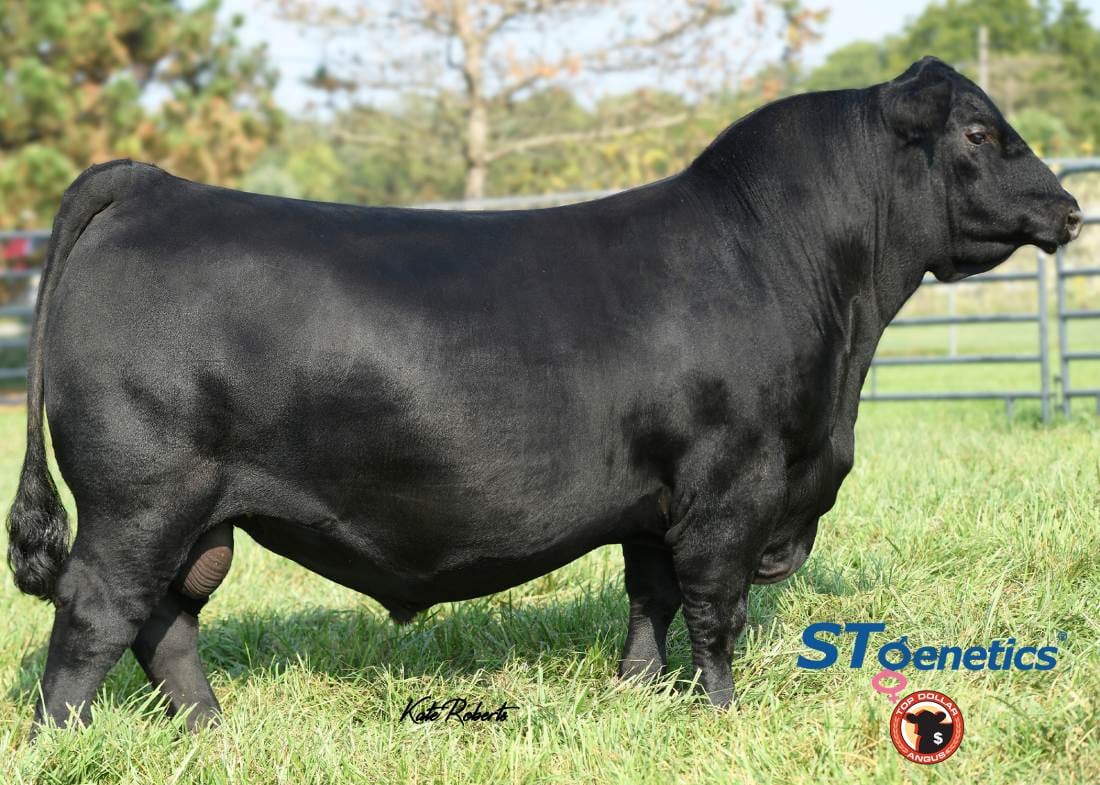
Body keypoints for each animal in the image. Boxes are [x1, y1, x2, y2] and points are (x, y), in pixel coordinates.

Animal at [6, 57, 1081, 732]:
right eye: (981, 130)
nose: (1070, 208)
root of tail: (153, 183)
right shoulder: (732, 483)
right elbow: (715, 609)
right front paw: (723, 717)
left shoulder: (657, 500)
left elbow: (650, 600)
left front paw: (638, 699)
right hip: (141, 496)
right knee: (97, 614)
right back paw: (70, 742)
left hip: (192, 514)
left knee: (167, 623)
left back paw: (211, 732)